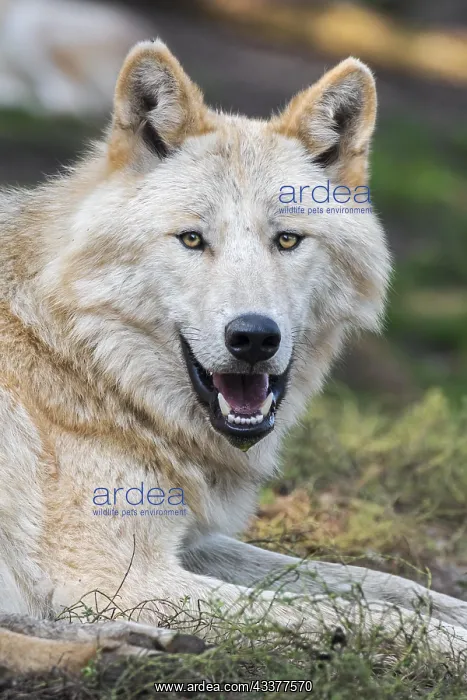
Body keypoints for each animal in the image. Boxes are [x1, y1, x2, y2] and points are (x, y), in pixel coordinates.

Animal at [0, 40, 466, 673]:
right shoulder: (116, 579)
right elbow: (349, 609)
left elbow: (380, 583)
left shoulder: (192, 543)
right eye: (192, 239)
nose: (253, 338)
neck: (83, 361)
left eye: (287, 239)